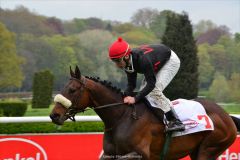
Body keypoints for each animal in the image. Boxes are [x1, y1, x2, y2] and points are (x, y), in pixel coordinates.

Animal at [49, 65, 239, 159]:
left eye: (72, 90)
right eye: (63, 88)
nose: (54, 115)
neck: (121, 118)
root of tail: (226, 115)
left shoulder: (140, 154)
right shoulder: (111, 155)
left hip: (210, 148)